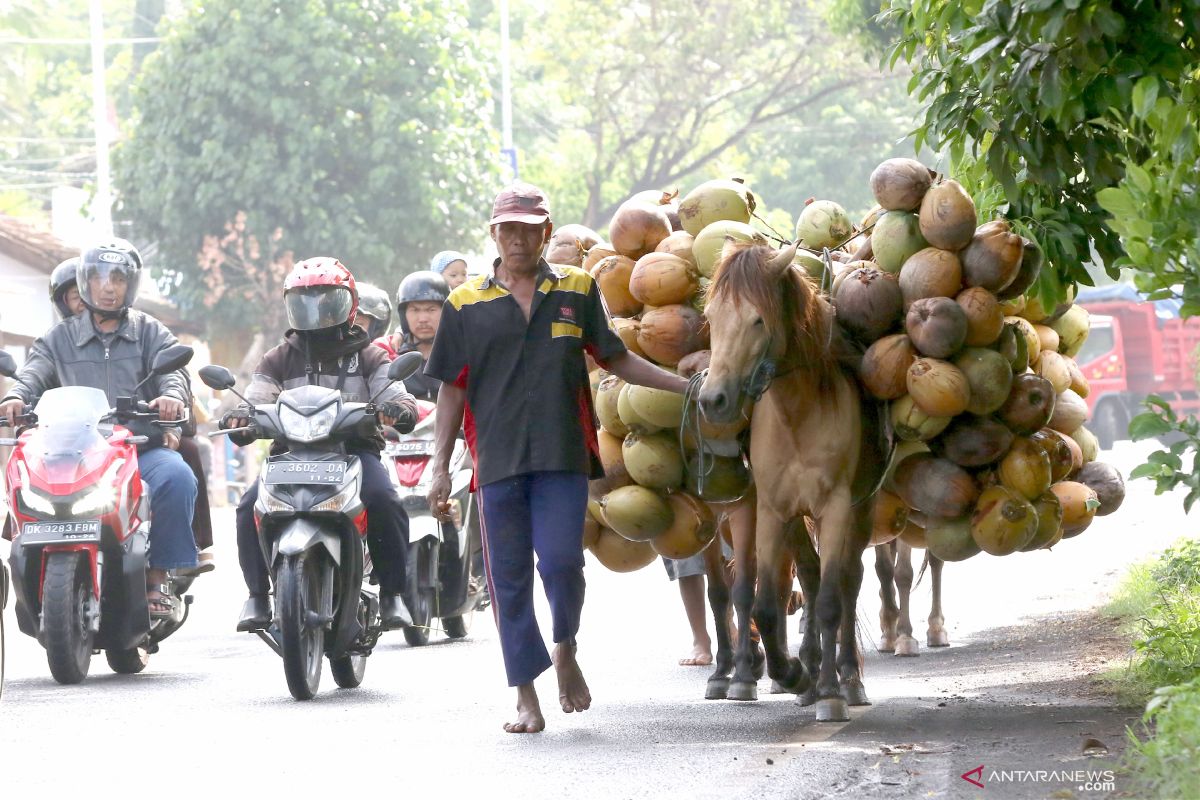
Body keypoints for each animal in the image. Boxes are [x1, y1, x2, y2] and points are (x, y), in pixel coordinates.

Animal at [696, 241, 892, 724]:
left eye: (757, 319)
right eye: (710, 316)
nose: (713, 400)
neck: (798, 413)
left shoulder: (836, 508)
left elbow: (831, 602)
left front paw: (831, 693)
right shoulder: (771, 510)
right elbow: (766, 606)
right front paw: (795, 675)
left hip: (860, 509)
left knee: (848, 581)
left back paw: (847, 679)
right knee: (811, 574)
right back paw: (810, 675)